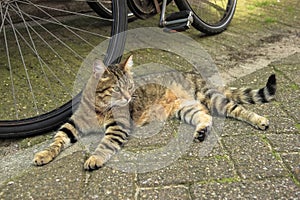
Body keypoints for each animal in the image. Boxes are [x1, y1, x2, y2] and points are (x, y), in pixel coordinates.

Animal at [33, 55, 276, 170]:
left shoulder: (118, 127)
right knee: (205, 115)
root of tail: (190, 72)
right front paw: (44, 154)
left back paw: (259, 119)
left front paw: (95, 158)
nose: (129, 98)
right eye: (117, 89)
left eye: (130, 86)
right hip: (186, 109)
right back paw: (201, 131)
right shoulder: (73, 123)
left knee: (237, 108)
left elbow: (105, 145)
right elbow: (57, 139)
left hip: (212, 99)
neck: (100, 107)